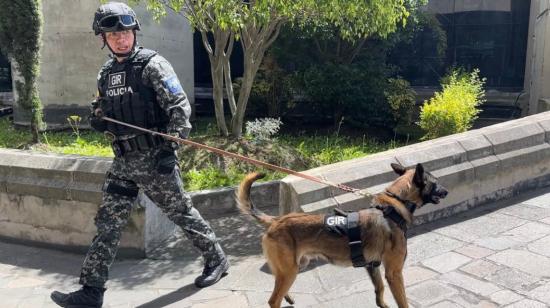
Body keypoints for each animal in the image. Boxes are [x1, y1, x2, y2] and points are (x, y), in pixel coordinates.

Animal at [237, 162, 448, 306]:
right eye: (436, 182)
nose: (446, 191)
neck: (393, 207)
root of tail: (275, 220)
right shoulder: (394, 273)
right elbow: (402, 301)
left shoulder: (372, 266)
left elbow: (379, 290)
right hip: (291, 270)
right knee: (273, 300)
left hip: (294, 266)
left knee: (278, 288)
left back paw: (288, 297)